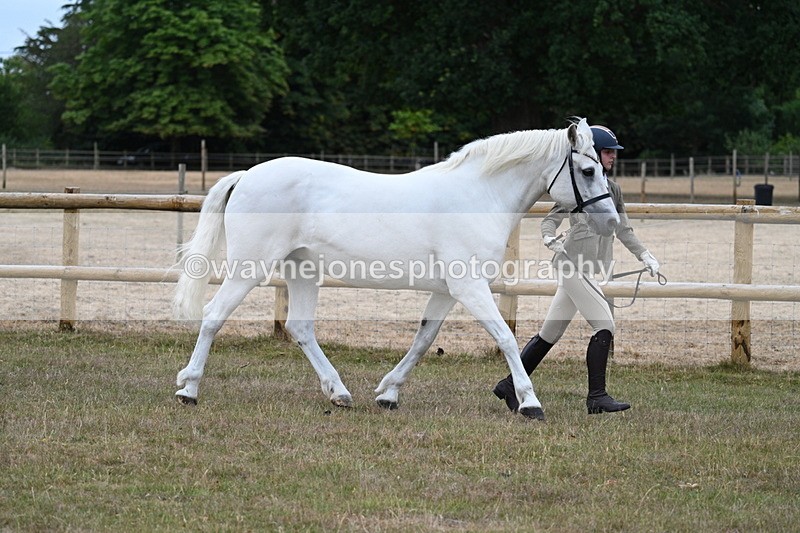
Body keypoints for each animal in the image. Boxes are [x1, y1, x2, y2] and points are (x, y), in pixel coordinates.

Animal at [172, 117, 619, 420]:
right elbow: (507, 338)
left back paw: (339, 393)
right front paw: (529, 402)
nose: (612, 221)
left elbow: (423, 340)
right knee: (213, 316)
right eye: (588, 170)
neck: (478, 196)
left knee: (300, 328)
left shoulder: (446, 291)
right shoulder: (470, 287)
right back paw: (188, 389)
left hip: (302, 270)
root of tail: (247, 174)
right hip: (250, 267)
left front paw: (388, 394)